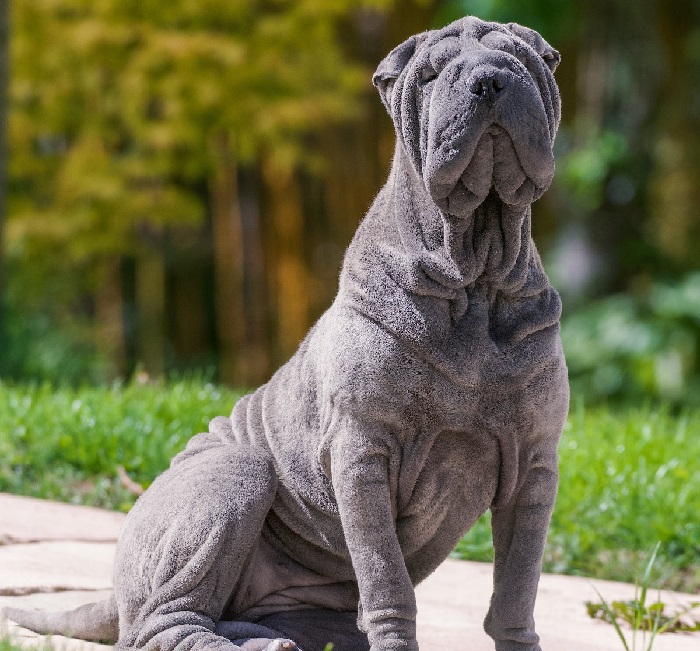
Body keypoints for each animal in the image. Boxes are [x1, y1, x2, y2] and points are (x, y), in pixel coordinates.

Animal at [5, 14, 568, 651]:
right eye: (430, 74)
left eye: (521, 59)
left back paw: (270, 639)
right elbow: (388, 582)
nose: (490, 81)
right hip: (238, 474)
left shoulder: (535, 464)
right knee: (160, 623)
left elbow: (517, 588)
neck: (475, 275)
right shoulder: (363, 453)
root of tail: (116, 592)